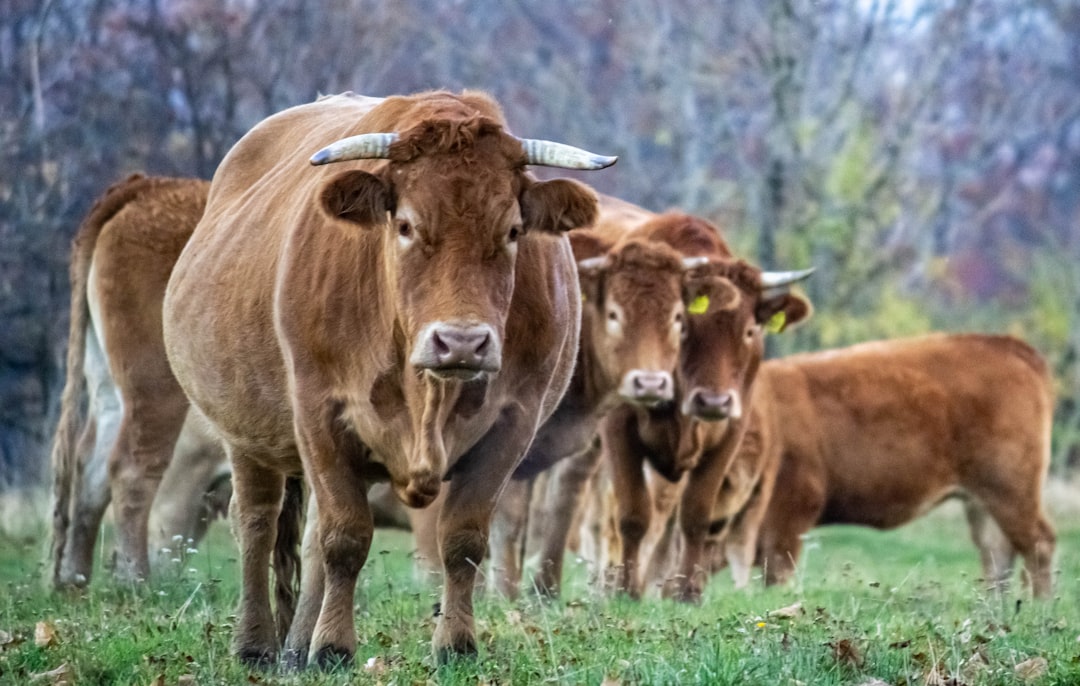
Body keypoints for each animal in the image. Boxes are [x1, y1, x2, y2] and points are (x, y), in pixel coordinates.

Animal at [50, 174, 229, 589]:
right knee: (131, 468)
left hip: (111, 390)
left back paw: (75, 580)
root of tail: (148, 185)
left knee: (92, 467)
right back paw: (135, 579)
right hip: (157, 388)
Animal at [161, 90, 616, 668]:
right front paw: (334, 646)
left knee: (307, 537)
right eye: (405, 225)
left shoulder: (513, 425)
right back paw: (257, 643)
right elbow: (346, 537)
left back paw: (297, 643)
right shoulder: (319, 413)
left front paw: (456, 645)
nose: (461, 342)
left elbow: (462, 541)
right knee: (257, 523)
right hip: (246, 431)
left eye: (513, 231)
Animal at [603, 258, 813, 602]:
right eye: (684, 326)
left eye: (749, 330)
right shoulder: (618, 429)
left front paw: (688, 592)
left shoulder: (729, 436)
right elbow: (632, 515)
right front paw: (626, 591)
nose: (713, 401)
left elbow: (696, 515)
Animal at [697, 333, 1056, 598]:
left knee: (1038, 544)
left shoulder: (790, 513)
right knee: (997, 553)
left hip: (1010, 492)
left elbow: (777, 570)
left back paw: (1038, 608)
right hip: (981, 500)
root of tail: (1008, 346)